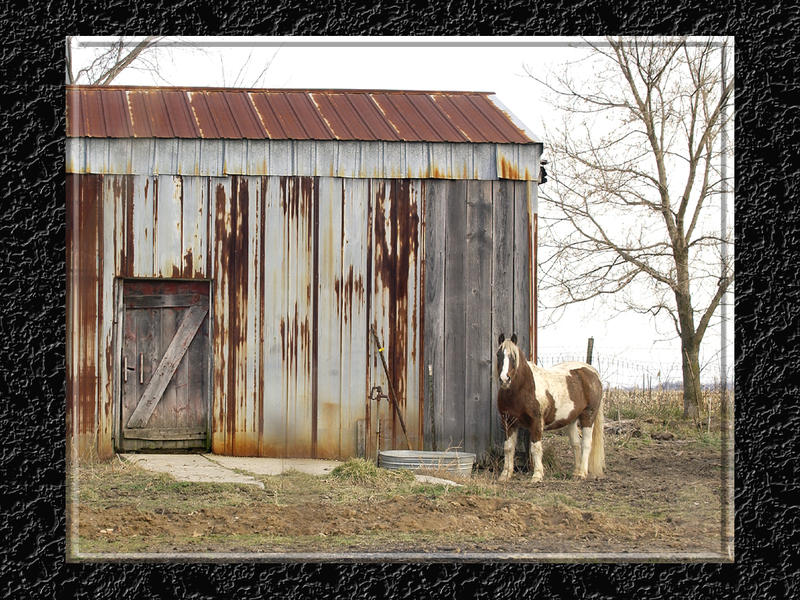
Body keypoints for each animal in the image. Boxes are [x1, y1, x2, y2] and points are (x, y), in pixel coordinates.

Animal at [494, 332, 608, 482]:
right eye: (498, 355)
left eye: (513, 356)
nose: (504, 379)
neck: (523, 388)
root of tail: (592, 371)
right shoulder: (508, 422)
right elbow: (508, 448)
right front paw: (505, 475)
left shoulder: (536, 423)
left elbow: (535, 448)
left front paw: (537, 475)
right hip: (571, 419)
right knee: (576, 444)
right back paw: (576, 472)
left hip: (588, 416)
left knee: (586, 443)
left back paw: (582, 473)